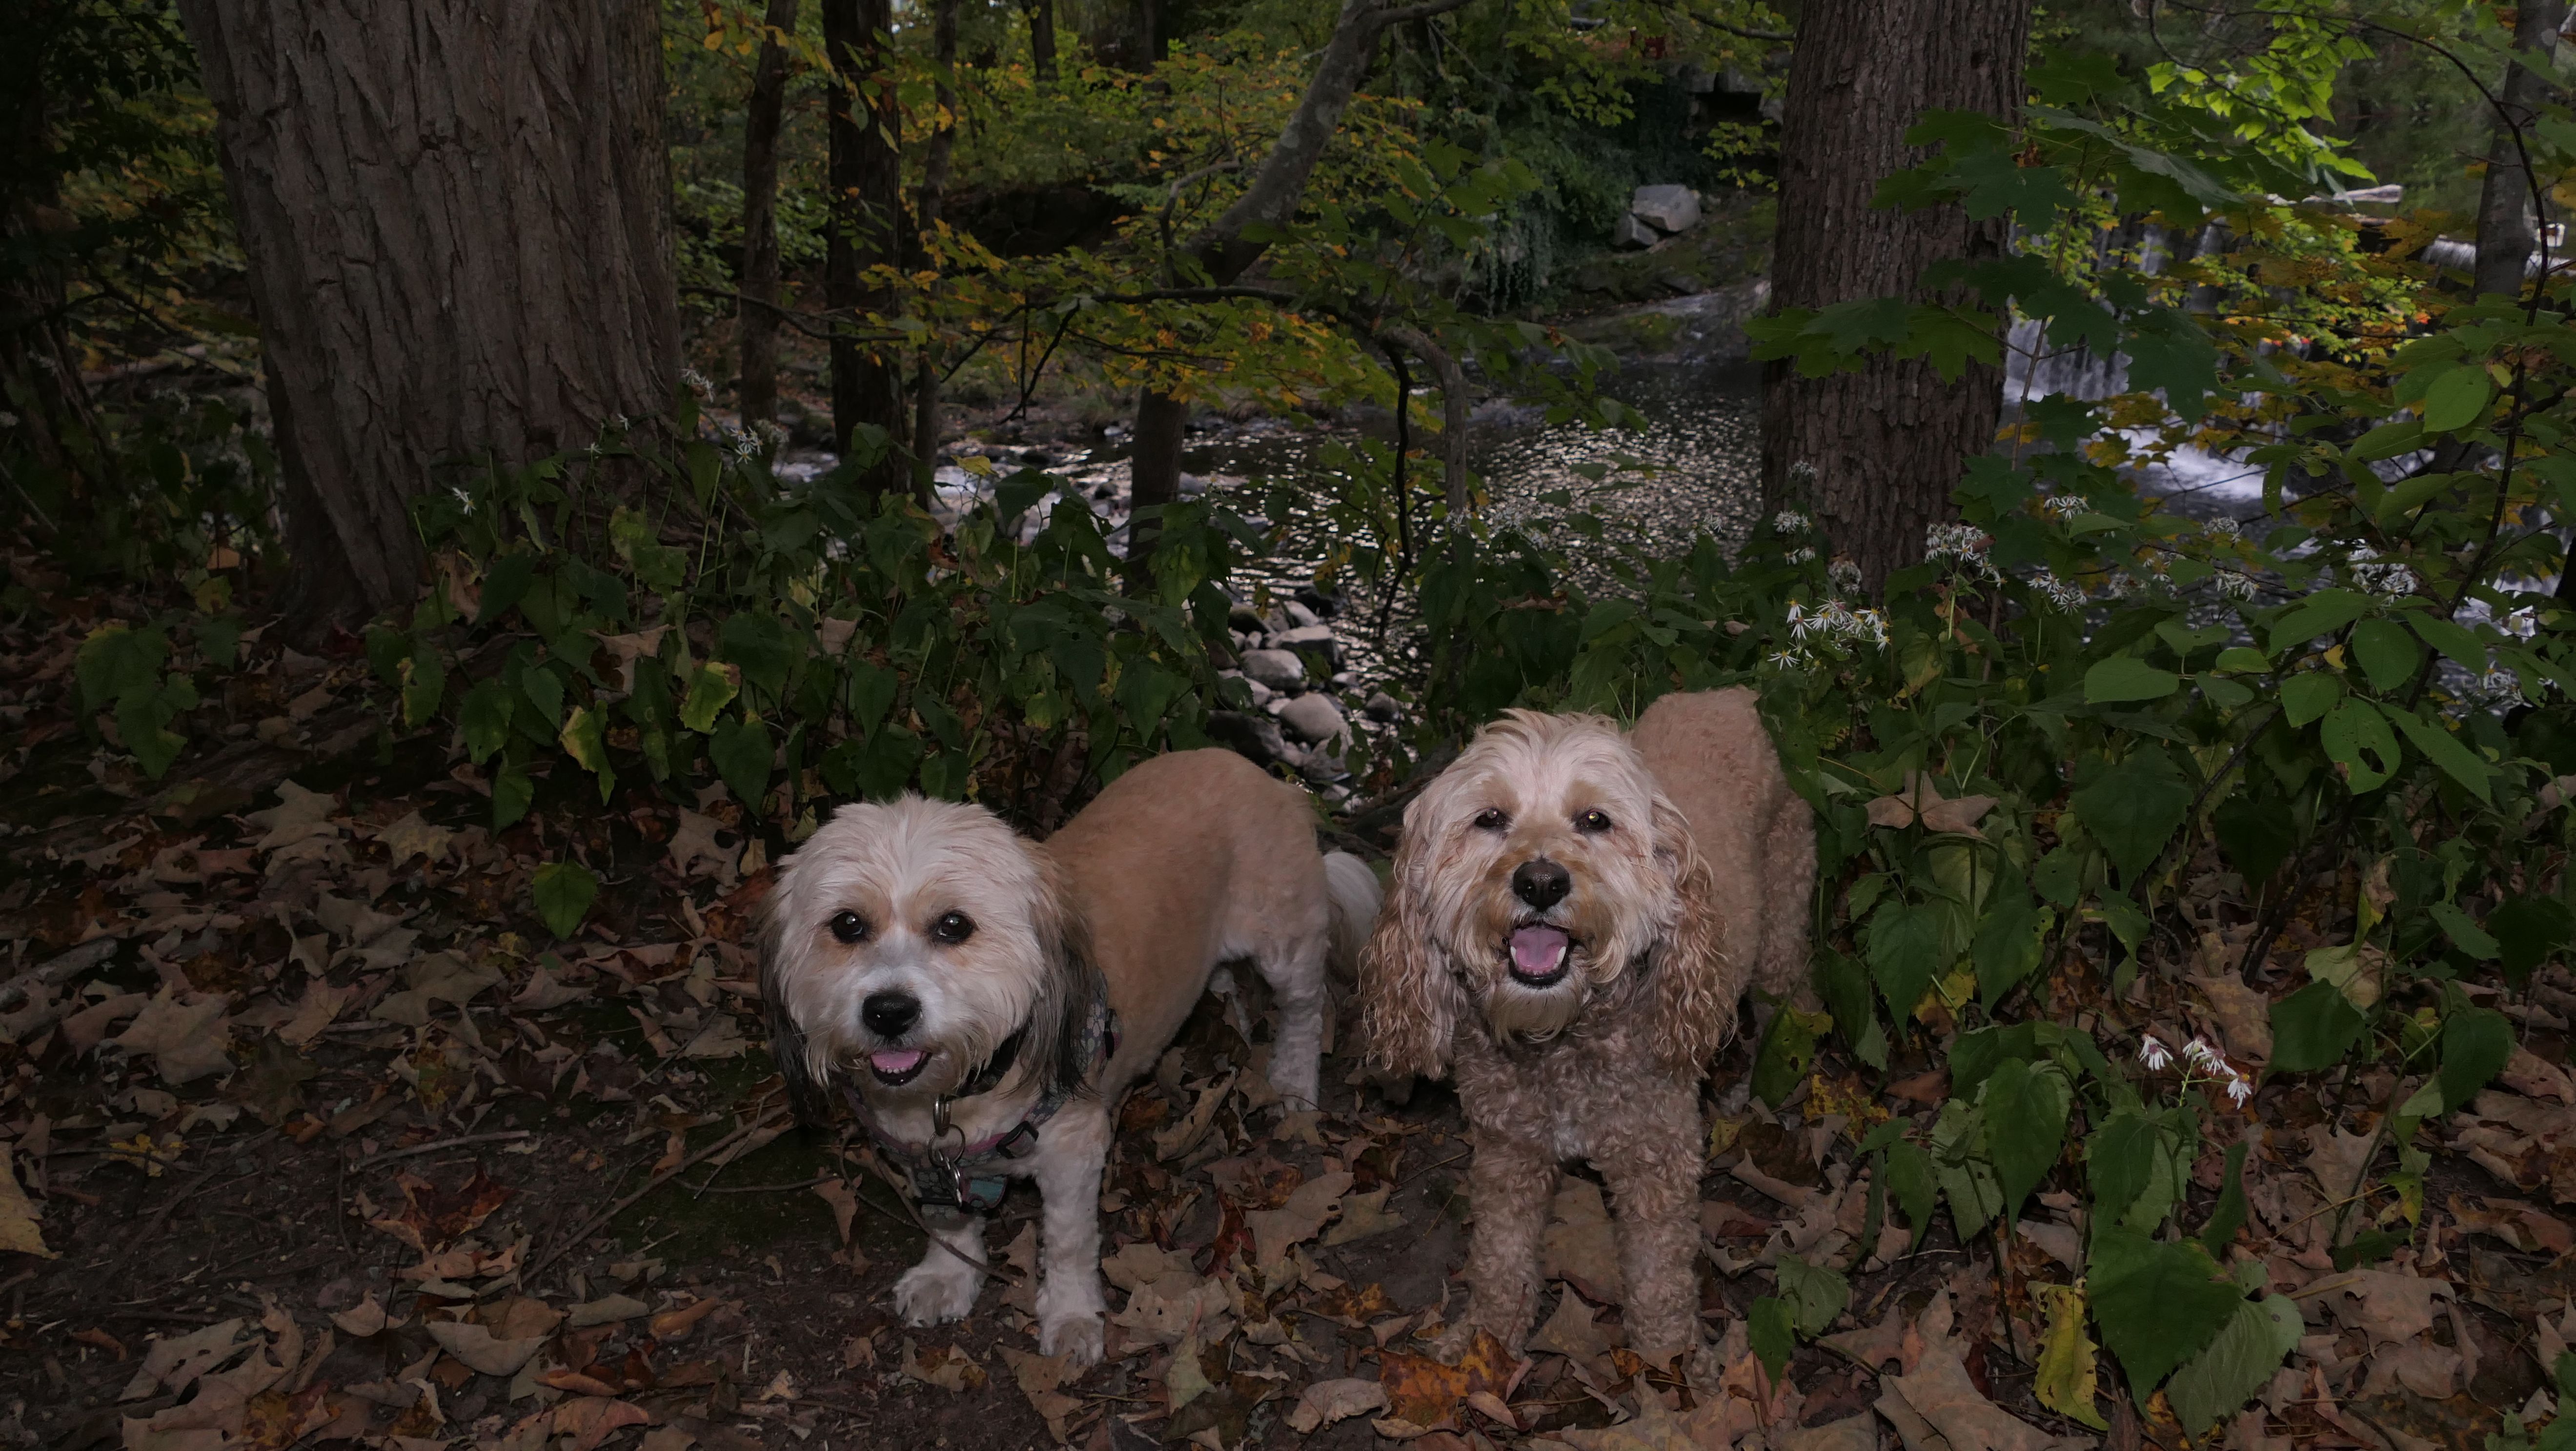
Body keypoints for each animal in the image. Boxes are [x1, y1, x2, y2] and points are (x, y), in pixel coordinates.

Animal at [761, 749, 1380, 1365]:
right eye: (846, 924)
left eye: (954, 925)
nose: (888, 1011)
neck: (969, 1085)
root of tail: (1264, 775)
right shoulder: (926, 1156)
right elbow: (948, 1222)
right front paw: (946, 1276)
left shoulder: (1072, 1152)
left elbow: (1066, 1242)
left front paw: (1073, 1317)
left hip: (1285, 942)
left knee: (1306, 1008)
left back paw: (1293, 1084)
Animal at [1358, 690, 1811, 1365]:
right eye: (1489, 818)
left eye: (1594, 820)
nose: (1540, 881)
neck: (1563, 1040)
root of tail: (1728, 694)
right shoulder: (1507, 1152)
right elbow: (1499, 1256)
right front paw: (1485, 1342)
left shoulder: (1658, 1163)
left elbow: (1658, 1278)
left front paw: (1668, 1365)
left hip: (1781, 935)